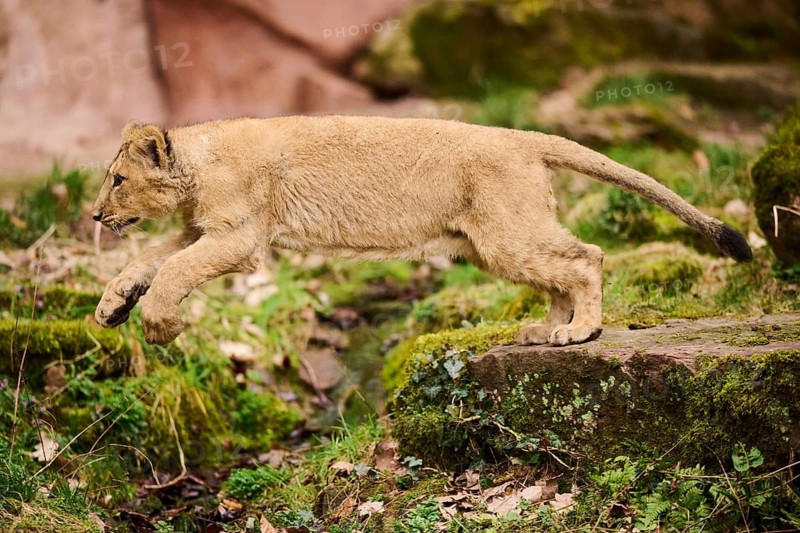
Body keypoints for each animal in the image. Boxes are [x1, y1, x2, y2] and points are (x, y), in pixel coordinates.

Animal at [92, 117, 751, 346]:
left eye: (117, 180)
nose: (96, 215)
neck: (198, 161)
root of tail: (521, 136)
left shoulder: (240, 237)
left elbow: (175, 269)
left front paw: (159, 325)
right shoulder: (203, 229)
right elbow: (151, 259)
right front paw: (112, 305)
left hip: (506, 235)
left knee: (587, 256)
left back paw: (579, 331)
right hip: (496, 244)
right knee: (560, 270)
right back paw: (547, 329)